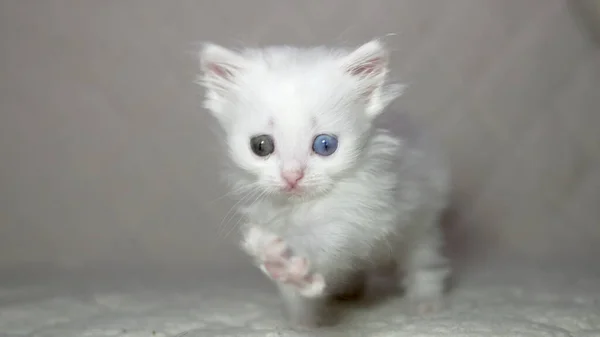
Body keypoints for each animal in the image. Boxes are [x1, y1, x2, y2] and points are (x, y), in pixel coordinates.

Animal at [197, 38, 450, 326]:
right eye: (261, 146)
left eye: (325, 145)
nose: (292, 176)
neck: (301, 208)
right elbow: (296, 296)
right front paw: (302, 323)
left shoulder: (366, 210)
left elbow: (326, 244)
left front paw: (287, 264)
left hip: (423, 221)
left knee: (424, 261)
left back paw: (426, 303)